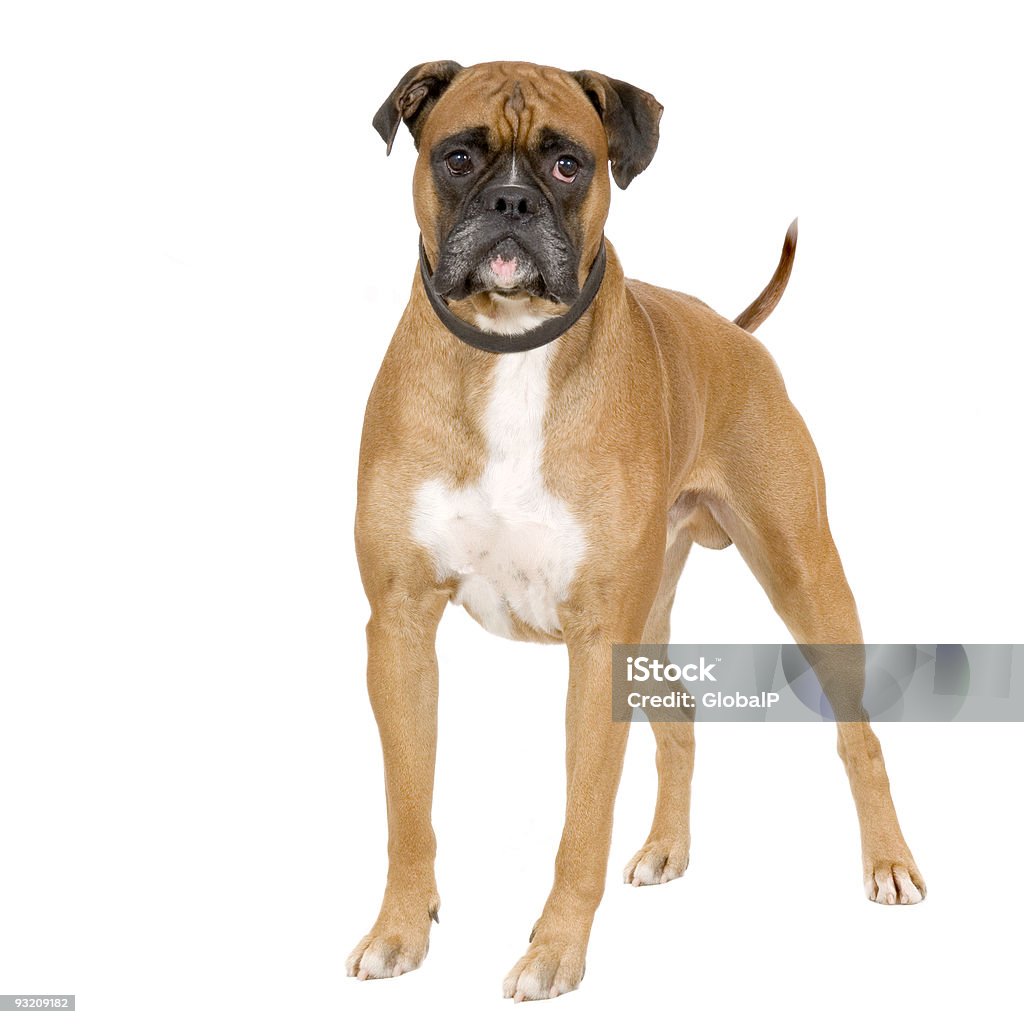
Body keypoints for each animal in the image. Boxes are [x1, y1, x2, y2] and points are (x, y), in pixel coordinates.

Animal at [346, 61, 929, 999]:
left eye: (568, 164)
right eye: (459, 156)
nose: (511, 202)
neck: (510, 353)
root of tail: (732, 330)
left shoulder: (595, 645)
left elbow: (582, 822)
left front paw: (554, 951)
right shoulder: (399, 630)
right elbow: (409, 806)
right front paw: (400, 930)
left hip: (803, 579)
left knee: (860, 737)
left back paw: (891, 864)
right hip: (649, 623)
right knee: (682, 716)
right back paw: (665, 849)